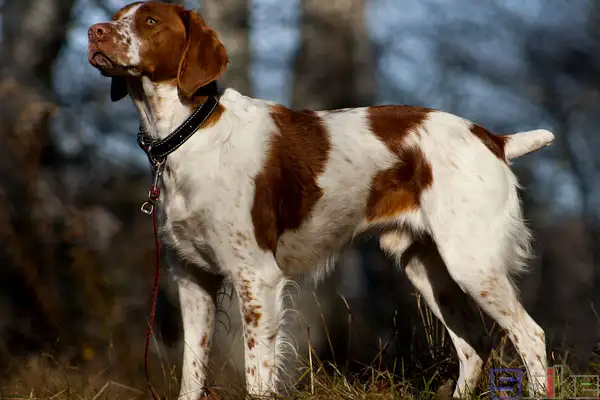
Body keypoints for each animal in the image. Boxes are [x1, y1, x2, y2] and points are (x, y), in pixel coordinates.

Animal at [86, 2, 556, 396]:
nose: (94, 31)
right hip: (427, 267)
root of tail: (492, 138)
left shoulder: (256, 277)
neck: (188, 134)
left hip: (472, 262)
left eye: (149, 21)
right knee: (474, 344)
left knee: (530, 334)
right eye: (118, 14)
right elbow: (192, 372)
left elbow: (258, 376)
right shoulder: (192, 277)